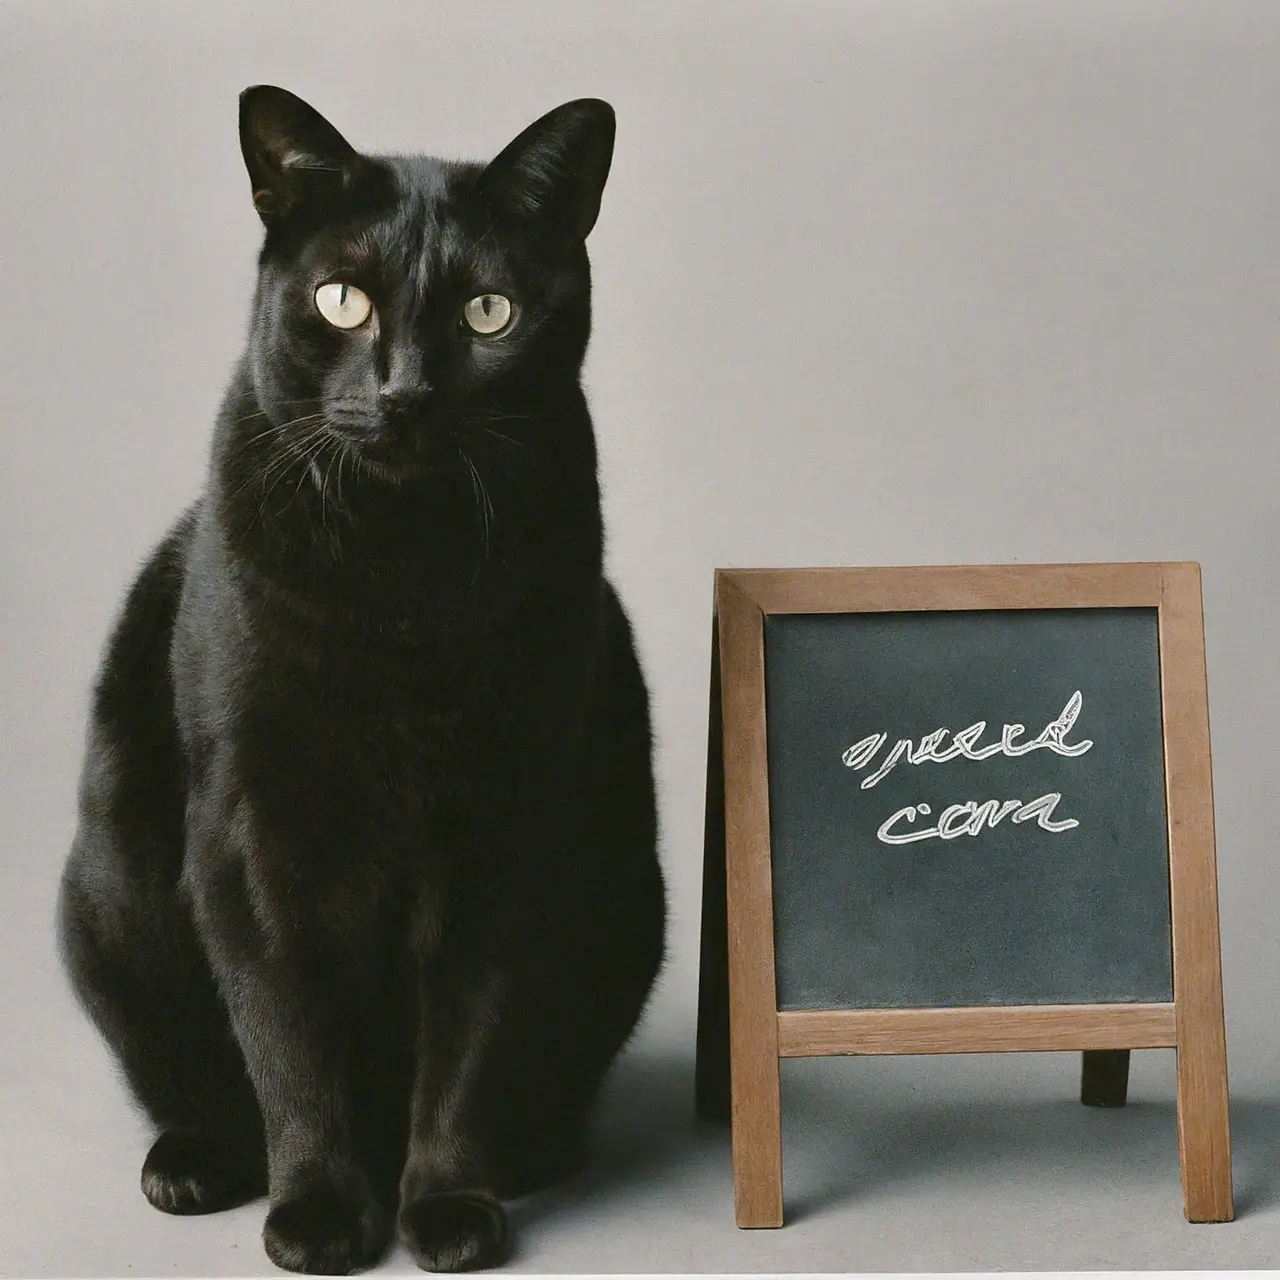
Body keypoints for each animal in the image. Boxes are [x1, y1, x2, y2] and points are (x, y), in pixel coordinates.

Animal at [55, 85, 665, 1274]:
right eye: (342, 300)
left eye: (488, 313)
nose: (406, 392)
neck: (401, 582)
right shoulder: (253, 835)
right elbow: (288, 1038)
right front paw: (320, 1213)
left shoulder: (503, 830)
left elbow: (467, 1044)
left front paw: (448, 1206)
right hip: (110, 896)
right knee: (191, 1072)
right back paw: (196, 1162)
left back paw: (529, 1155)